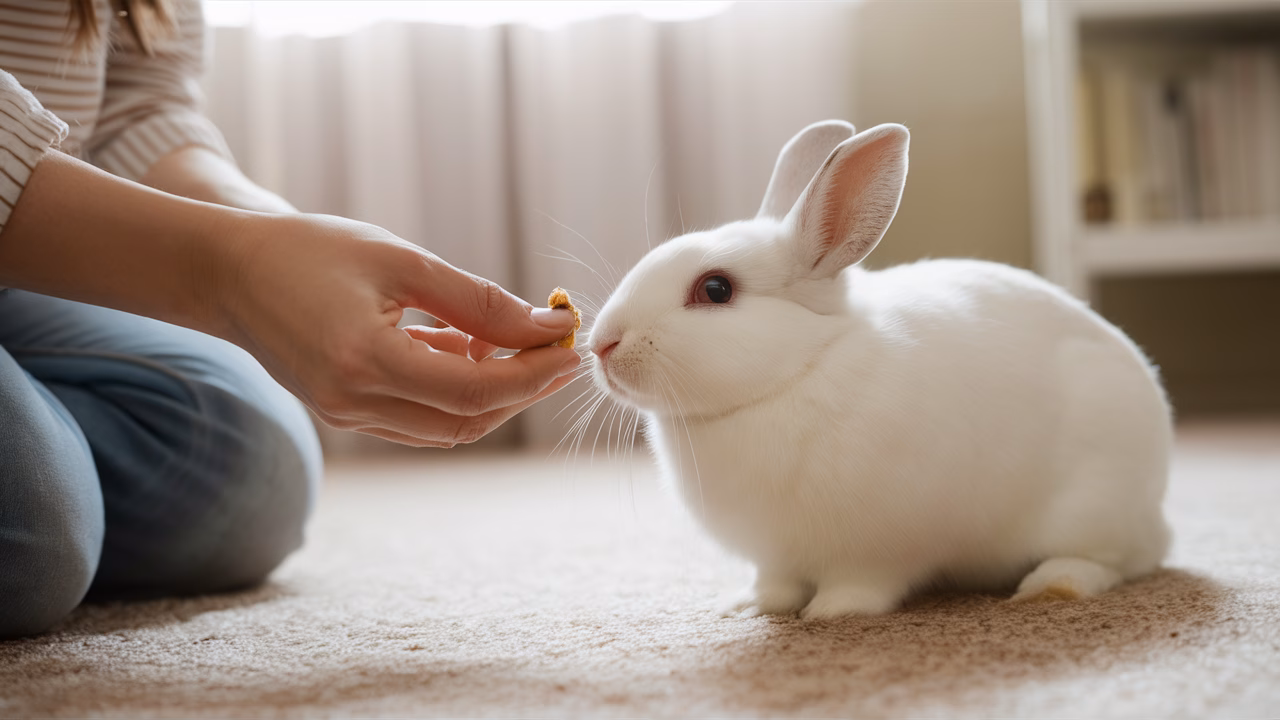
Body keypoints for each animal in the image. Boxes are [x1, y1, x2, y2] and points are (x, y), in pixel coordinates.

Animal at [585, 120, 1173, 620]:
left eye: (715, 289)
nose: (601, 344)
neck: (798, 371)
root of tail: (1155, 511)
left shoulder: (878, 549)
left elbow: (861, 584)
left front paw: (830, 613)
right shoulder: (775, 555)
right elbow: (774, 584)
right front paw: (751, 607)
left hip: (1093, 505)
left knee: (1112, 562)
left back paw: (1053, 586)